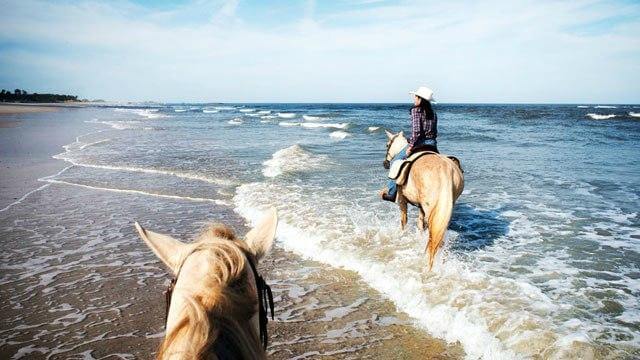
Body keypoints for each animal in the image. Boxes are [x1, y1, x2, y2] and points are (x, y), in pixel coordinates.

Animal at [382, 130, 462, 270]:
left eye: (387, 145)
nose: (385, 163)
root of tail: (445, 170)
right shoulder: (421, 207)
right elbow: (420, 226)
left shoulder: (402, 200)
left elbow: (404, 221)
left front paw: (402, 235)